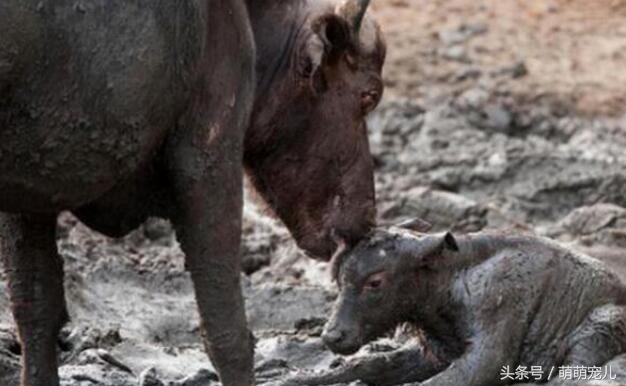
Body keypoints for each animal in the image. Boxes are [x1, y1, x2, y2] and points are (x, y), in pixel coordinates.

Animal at [0, 0, 386, 386]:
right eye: (369, 95)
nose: (365, 219)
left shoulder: (30, 195)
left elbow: (35, 308)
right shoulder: (210, 164)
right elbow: (226, 329)